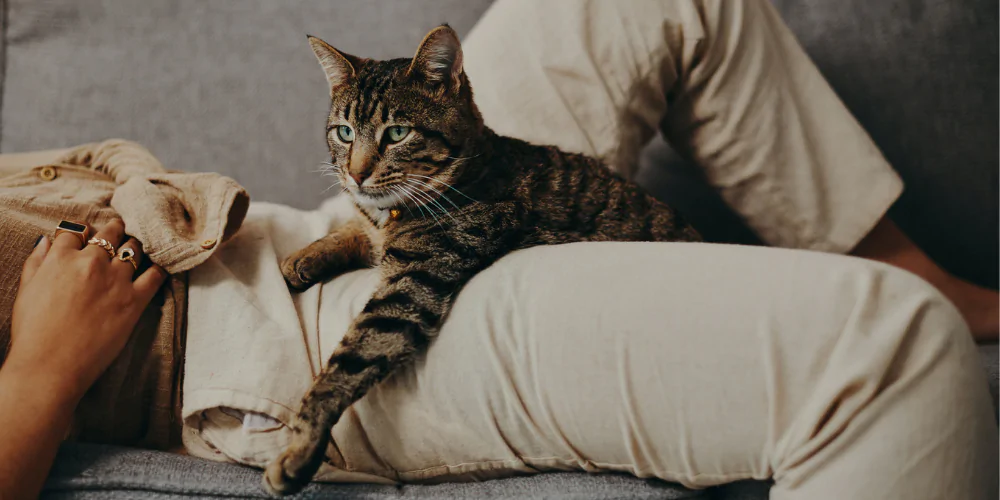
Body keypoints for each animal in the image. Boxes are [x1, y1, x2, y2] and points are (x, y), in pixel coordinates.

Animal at [266, 24, 704, 496]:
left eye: (397, 133)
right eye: (344, 132)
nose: (356, 173)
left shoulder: (412, 285)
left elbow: (348, 363)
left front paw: (299, 450)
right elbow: (352, 229)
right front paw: (302, 257)